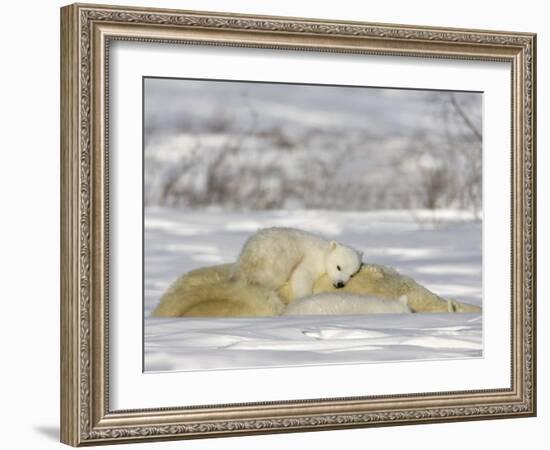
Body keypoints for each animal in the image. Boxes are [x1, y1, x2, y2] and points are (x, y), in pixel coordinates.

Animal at [232, 229, 364, 298]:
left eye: (352, 274)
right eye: (338, 267)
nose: (340, 284)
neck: (324, 251)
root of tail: (251, 251)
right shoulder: (312, 258)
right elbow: (302, 274)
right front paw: (304, 296)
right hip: (277, 258)